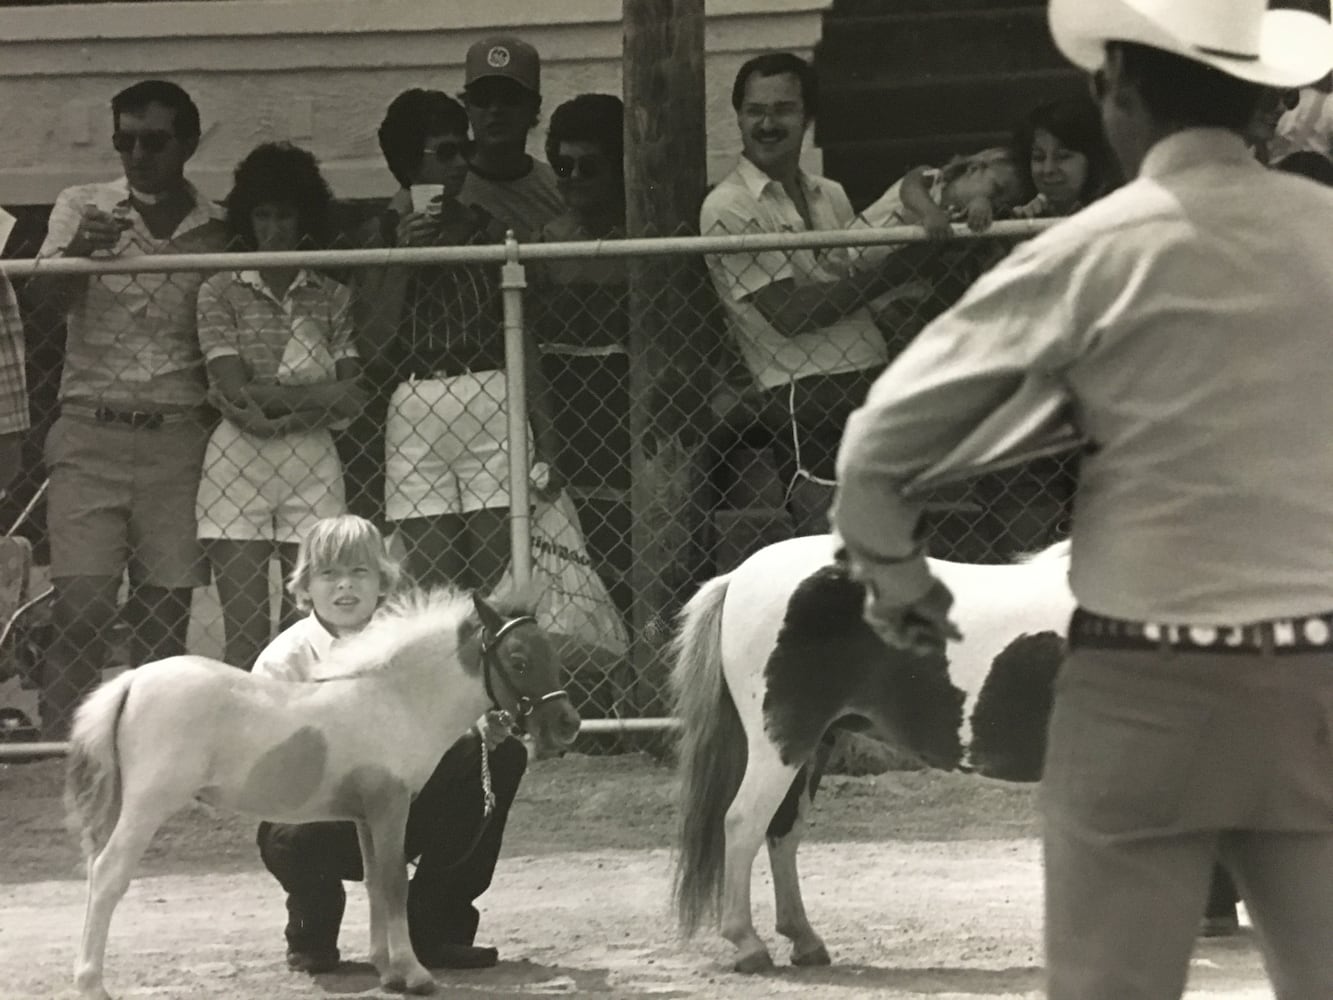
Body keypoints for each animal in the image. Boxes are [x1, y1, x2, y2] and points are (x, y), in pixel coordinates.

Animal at [66, 592, 578, 997]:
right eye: (518, 661)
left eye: (553, 655)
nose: (567, 724)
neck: (396, 701)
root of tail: (132, 681)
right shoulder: (390, 806)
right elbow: (395, 882)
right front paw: (414, 975)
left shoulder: (365, 816)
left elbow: (375, 883)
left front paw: (387, 970)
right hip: (147, 806)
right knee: (108, 874)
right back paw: (91, 984)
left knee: (94, 873)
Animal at [666, 536, 1071, 976]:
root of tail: (738, 577)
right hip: (781, 746)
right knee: (744, 823)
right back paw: (749, 946)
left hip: (812, 748)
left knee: (783, 830)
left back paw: (804, 941)